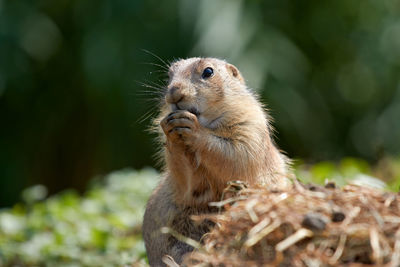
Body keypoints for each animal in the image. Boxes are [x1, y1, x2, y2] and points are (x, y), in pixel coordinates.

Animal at [142, 57, 290, 266]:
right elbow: (187, 180)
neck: (208, 122)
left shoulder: (249, 126)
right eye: (169, 75)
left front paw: (193, 129)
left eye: (208, 72)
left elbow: (236, 153)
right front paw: (170, 129)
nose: (174, 93)